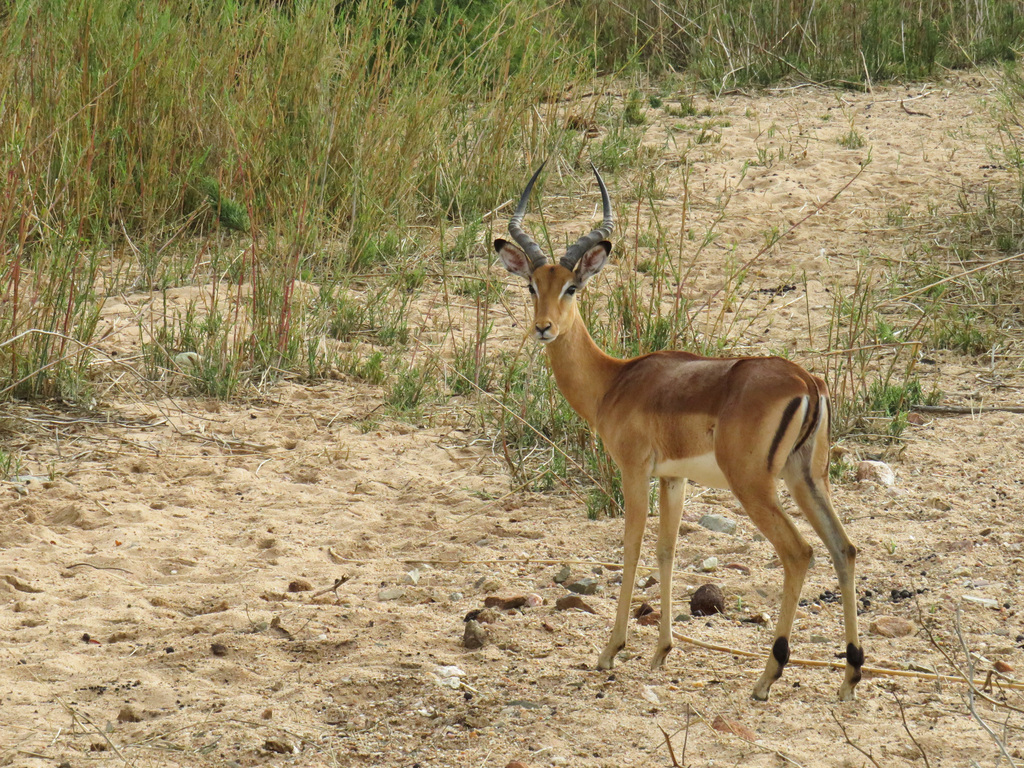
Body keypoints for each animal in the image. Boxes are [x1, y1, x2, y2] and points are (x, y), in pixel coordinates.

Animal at [494, 162, 863, 701]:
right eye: (531, 286)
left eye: (571, 288)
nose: (543, 328)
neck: (615, 381)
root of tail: (807, 382)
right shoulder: (674, 478)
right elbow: (667, 551)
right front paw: (661, 651)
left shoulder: (633, 471)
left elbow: (630, 547)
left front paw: (610, 652)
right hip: (808, 479)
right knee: (843, 548)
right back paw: (850, 675)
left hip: (754, 485)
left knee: (799, 553)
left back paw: (767, 677)